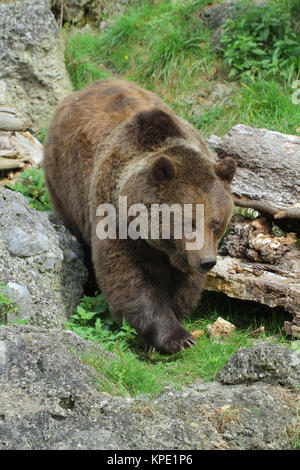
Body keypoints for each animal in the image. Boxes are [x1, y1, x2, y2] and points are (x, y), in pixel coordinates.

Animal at [44, 79, 237, 354]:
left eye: (217, 222)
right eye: (188, 223)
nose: (207, 262)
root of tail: (83, 89)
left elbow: (184, 283)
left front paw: (178, 315)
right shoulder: (114, 216)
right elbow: (130, 278)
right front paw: (176, 338)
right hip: (65, 183)